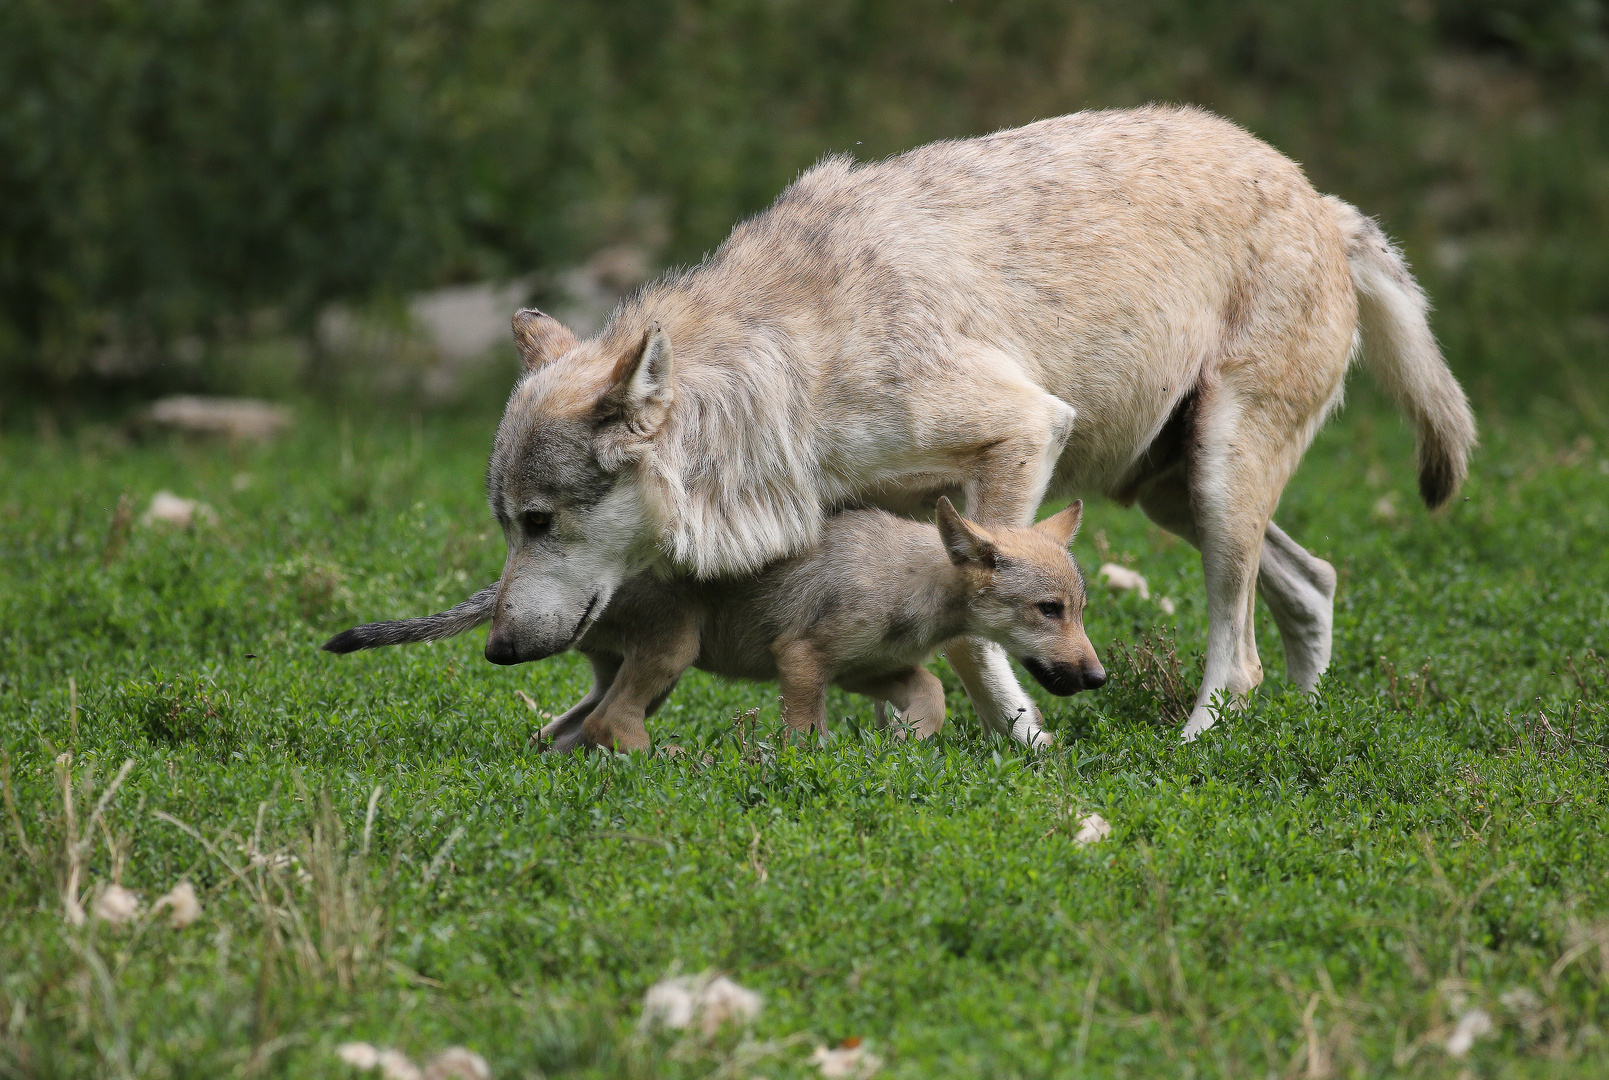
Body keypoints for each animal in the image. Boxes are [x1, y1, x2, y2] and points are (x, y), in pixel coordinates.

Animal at [469, 109, 1473, 746]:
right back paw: (1299, 722)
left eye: (539, 522)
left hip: (1216, 481)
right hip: (1170, 493)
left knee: (1241, 653)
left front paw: (1024, 743)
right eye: (507, 523)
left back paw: (1200, 749)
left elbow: (967, 635)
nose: (496, 650)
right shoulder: (897, 514)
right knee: (1314, 582)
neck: (794, 364)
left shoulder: (1021, 438)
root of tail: (1324, 203)